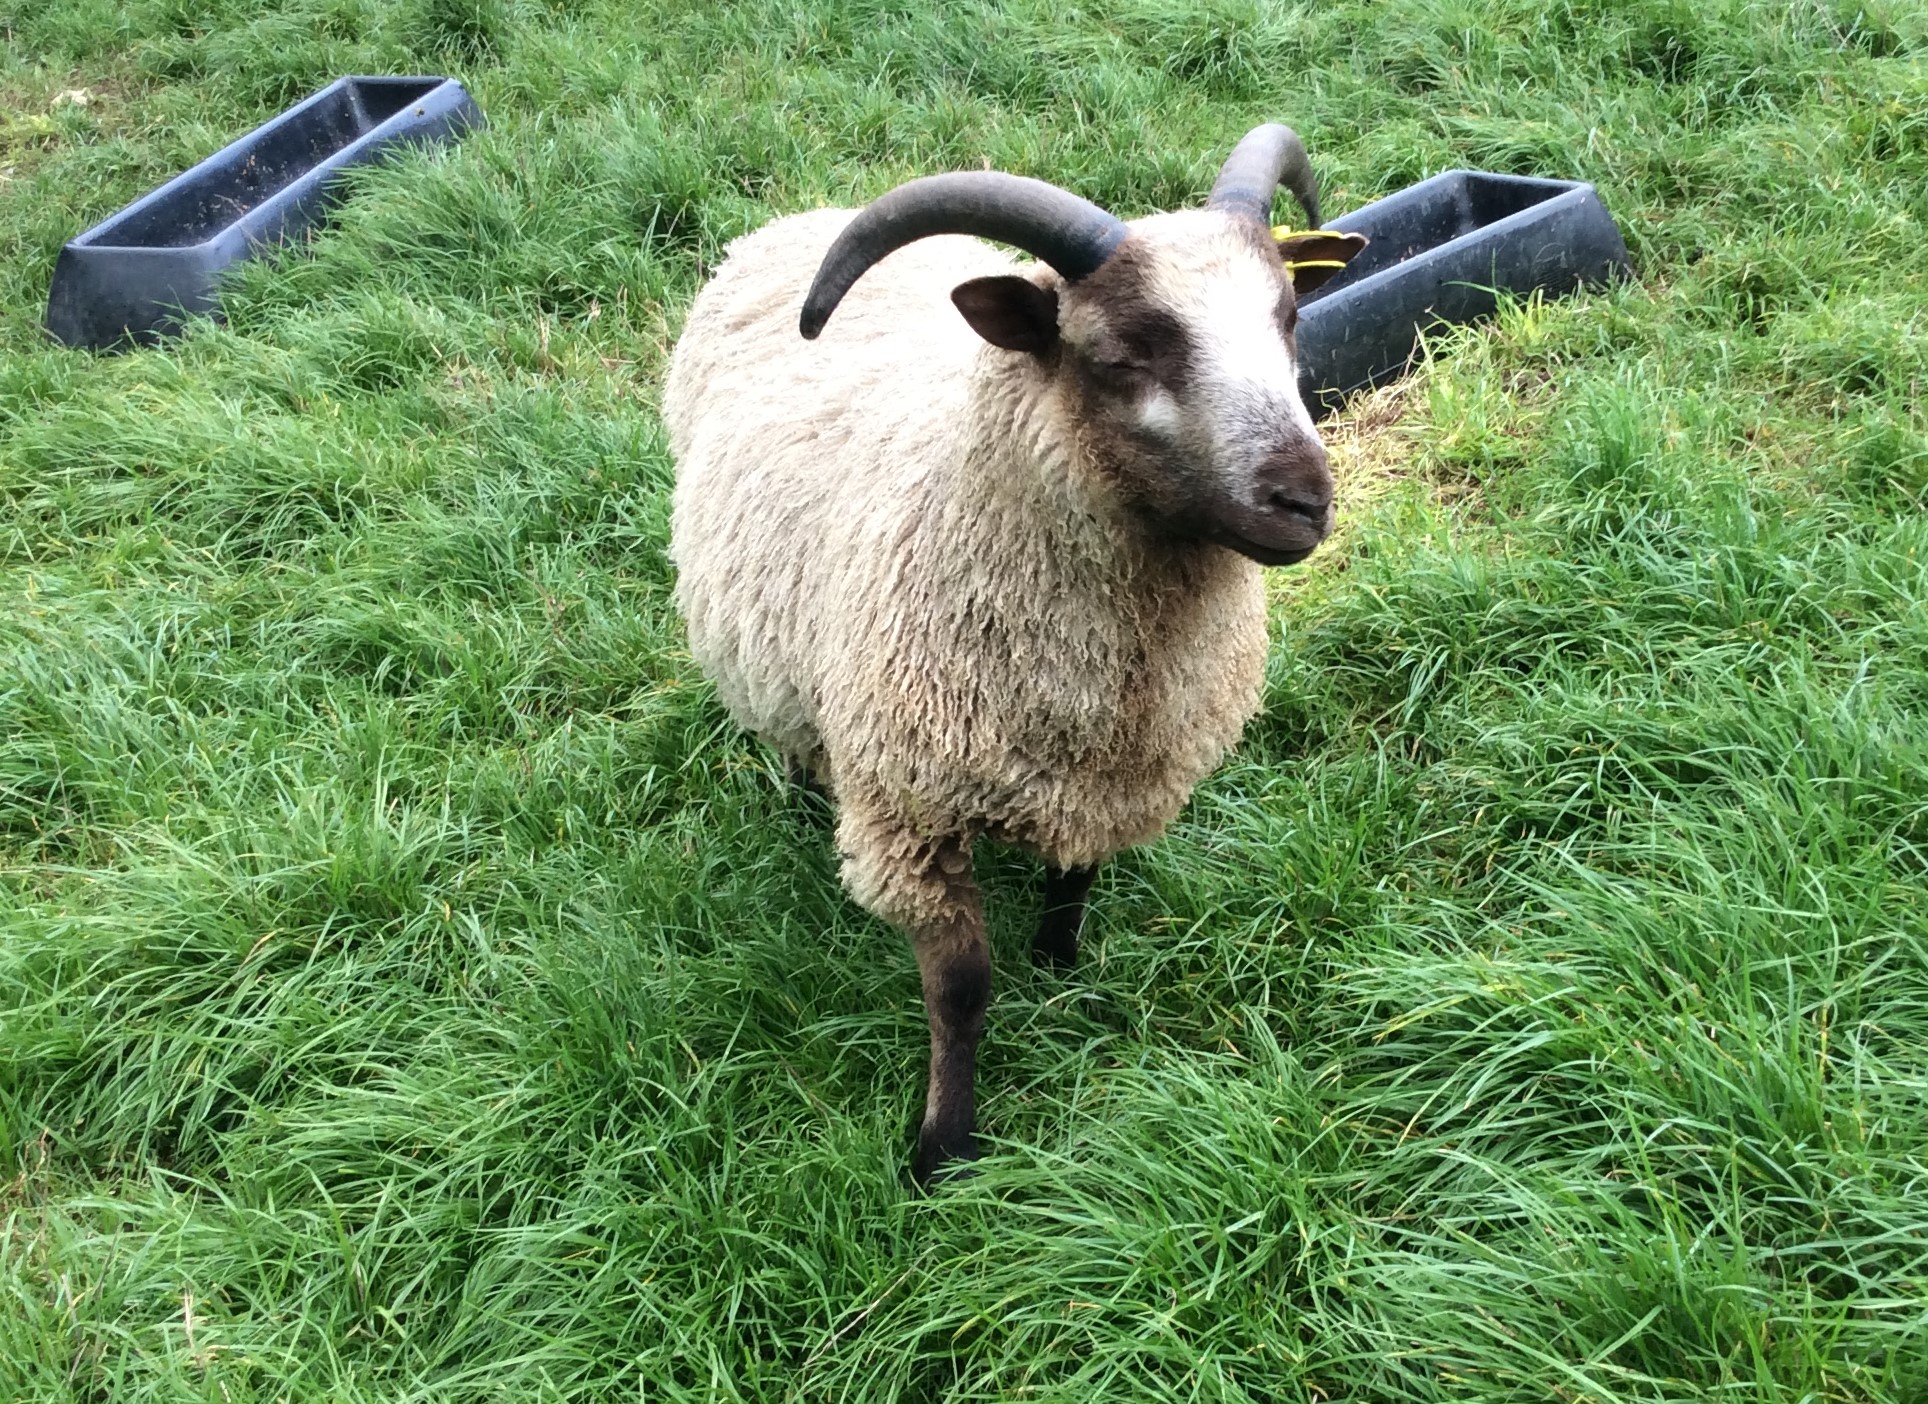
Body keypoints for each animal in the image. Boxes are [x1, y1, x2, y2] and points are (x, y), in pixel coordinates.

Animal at [662, 124, 1368, 1183]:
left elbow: (1073, 887)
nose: (1303, 500)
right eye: (1122, 353)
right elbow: (960, 992)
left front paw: (1063, 973)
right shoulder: (910, 815)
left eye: (1289, 319)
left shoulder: (1118, 776)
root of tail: (806, 215)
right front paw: (943, 1152)